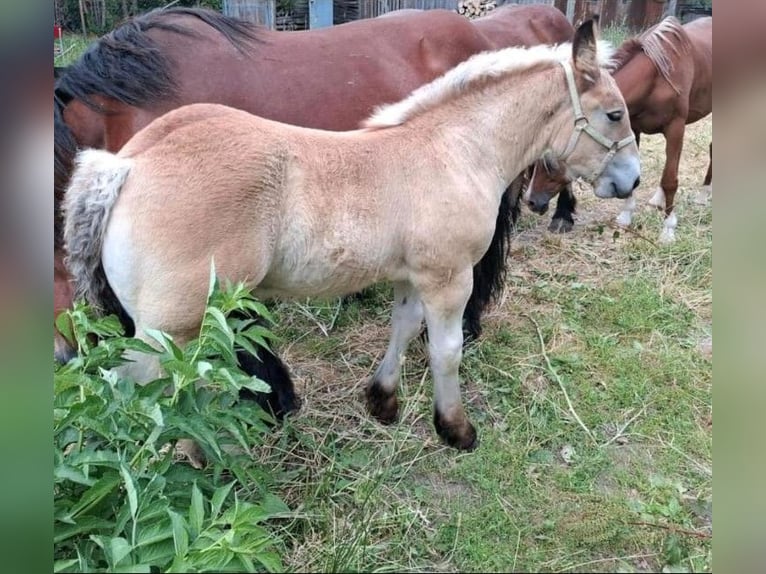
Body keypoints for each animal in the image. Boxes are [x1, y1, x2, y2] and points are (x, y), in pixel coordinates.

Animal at [62, 20, 641, 451]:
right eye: (615, 113)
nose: (631, 180)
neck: (453, 149)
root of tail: (126, 165)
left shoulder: (413, 276)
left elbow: (402, 329)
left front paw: (382, 402)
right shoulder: (449, 279)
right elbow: (446, 350)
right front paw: (455, 430)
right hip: (170, 332)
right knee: (148, 394)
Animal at [523, 16, 712, 243]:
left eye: (550, 159)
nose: (531, 201)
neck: (657, 79)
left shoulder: (676, 129)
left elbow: (670, 180)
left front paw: (668, 230)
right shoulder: (632, 130)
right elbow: (632, 179)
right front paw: (626, 216)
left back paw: (703, 195)